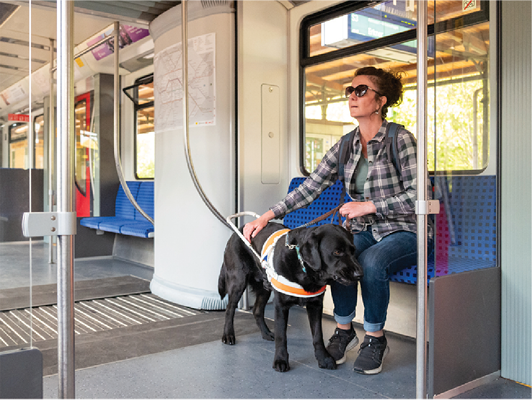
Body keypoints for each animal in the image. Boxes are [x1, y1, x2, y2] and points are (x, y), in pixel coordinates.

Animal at [218, 222, 364, 372]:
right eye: (337, 252)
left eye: (353, 251)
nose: (360, 274)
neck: (302, 266)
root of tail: (238, 229)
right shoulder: (281, 306)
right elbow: (281, 335)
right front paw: (280, 360)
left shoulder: (315, 305)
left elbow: (318, 335)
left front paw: (324, 358)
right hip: (238, 281)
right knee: (230, 309)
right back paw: (228, 335)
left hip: (265, 287)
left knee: (257, 310)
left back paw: (266, 333)